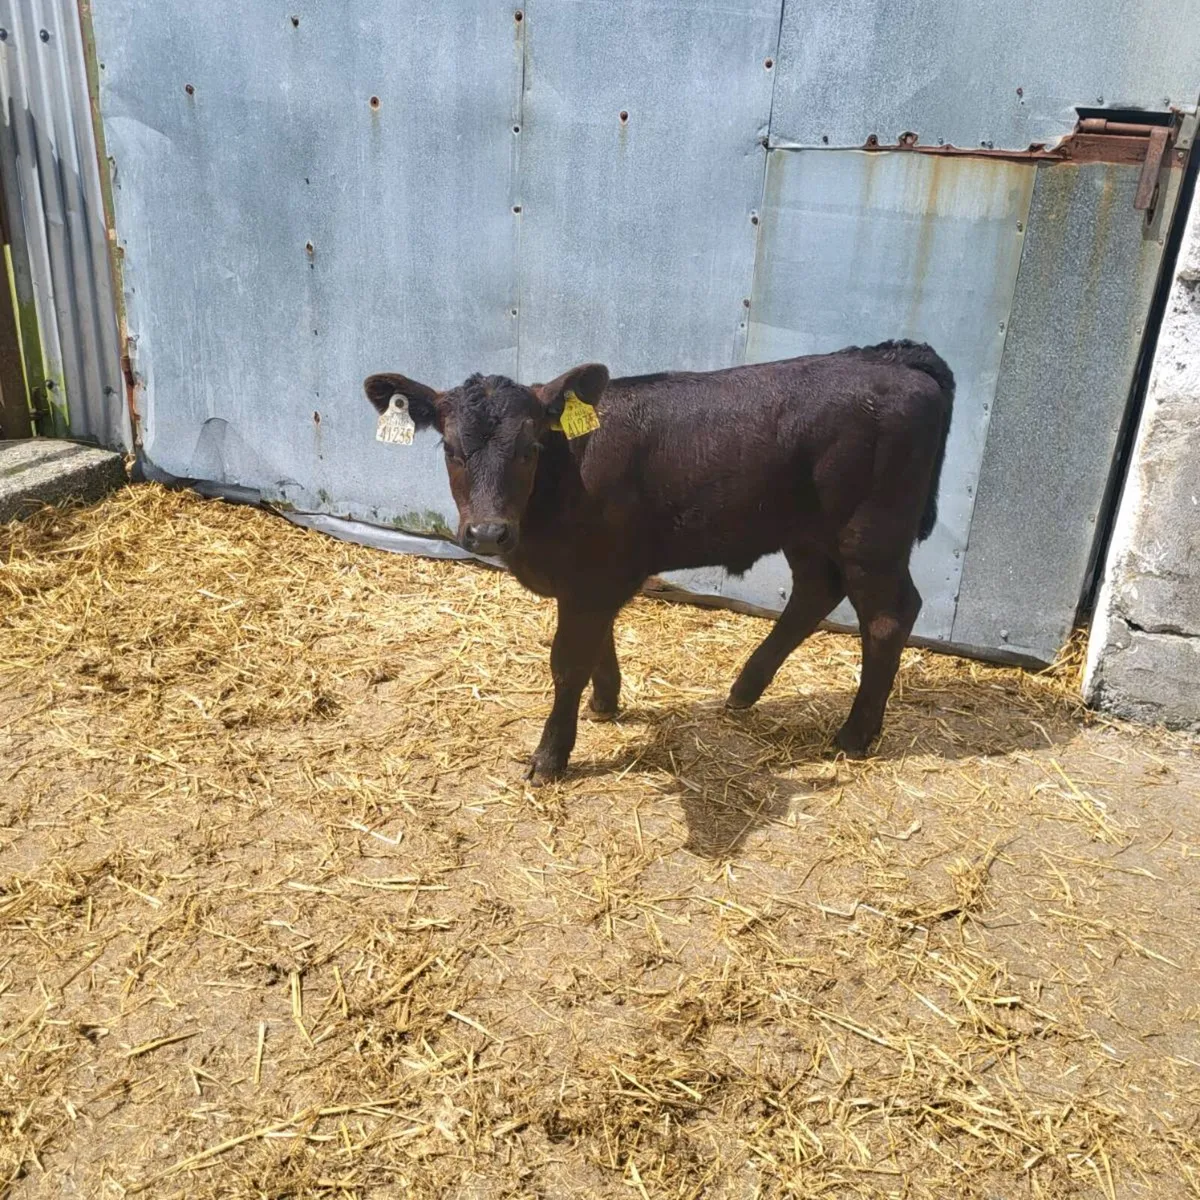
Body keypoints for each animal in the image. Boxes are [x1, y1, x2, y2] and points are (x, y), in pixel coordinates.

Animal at [364, 341, 954, 783]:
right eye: (450, 450)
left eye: (531, 447)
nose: (488, 531)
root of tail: (892, 358)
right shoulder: (590, 580)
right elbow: (597, 646)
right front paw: (605, 703)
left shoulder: (593, 577)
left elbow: (567, 663)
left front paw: (550, 757)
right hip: (807, 531)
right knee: (815, 591)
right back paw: (744, 691)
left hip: (871, 536)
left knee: (889, 616)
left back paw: (853, 735)